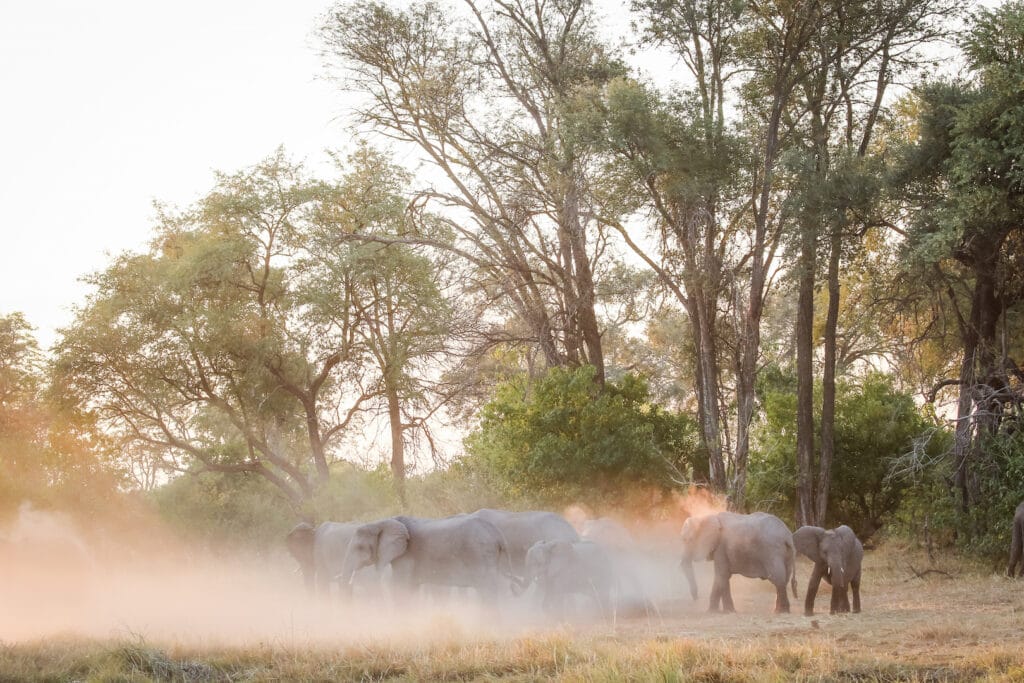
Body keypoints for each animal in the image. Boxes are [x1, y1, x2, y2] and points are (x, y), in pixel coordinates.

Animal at [339, 511, 520, 602]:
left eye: (360, 547)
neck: (382, 521)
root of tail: (498, 534)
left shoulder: (406, 555)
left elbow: (400, 586)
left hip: (479, 554)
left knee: (487, 591)